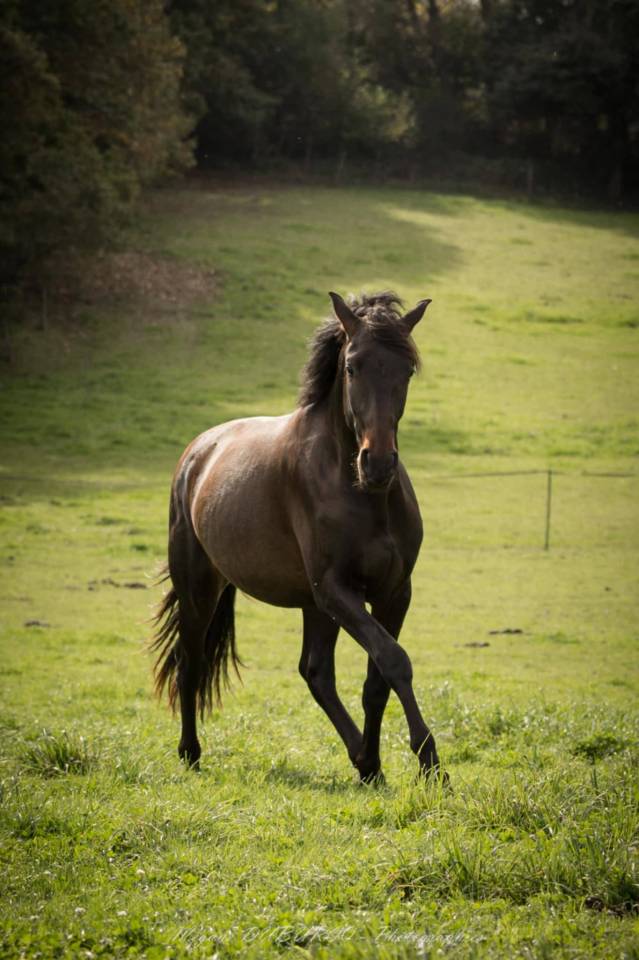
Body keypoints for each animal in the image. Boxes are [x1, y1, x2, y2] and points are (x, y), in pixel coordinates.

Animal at [151, 290, 444, 783]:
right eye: (352, 367)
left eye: (406, 370)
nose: (379, 464)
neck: (359, 492)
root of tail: (198, 452)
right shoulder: (336, 590)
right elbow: (394, 660)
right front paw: (430, 762)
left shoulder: (392, 592)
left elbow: (377, 681)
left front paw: (380, 764)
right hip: (200, 589)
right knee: (191, 663)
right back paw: (190, 753)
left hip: (312, 606)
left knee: (316, 672)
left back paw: (363, 760)